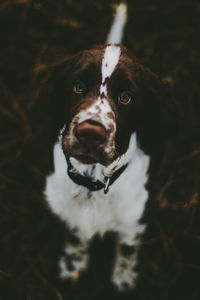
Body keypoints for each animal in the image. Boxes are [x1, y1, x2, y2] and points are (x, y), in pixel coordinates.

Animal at [43, 1, 177, 288]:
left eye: (126, 97)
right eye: (78, 86)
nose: (90, 133)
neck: (93, 186)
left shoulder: (134, 218)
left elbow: (128, 246)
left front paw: (124, 279)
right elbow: (76, 235)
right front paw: (72, 266)